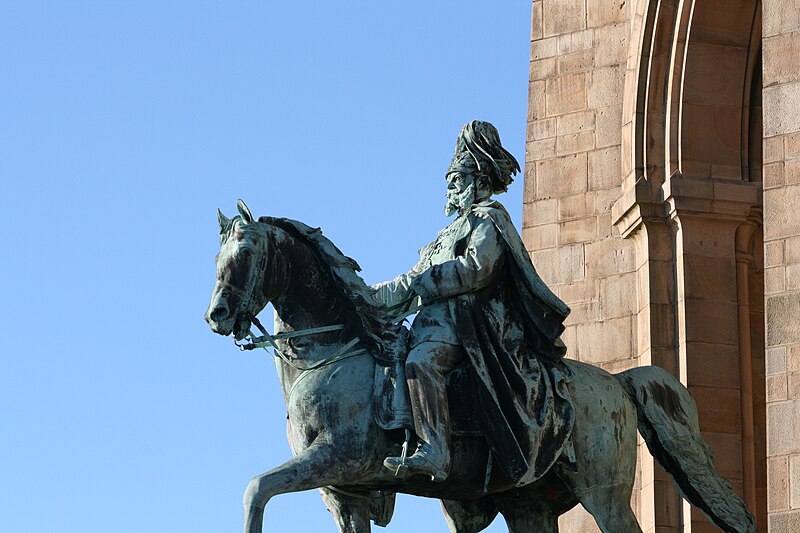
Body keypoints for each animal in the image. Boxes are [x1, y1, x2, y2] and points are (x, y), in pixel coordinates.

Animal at [206, 201, 756, 532]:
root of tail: (618, 381)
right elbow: (264, 490)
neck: (333, 354)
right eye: (217, 256)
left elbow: (255, 489)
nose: (217, 315)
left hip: (605, 493)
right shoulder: (346, 493)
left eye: (246, 251)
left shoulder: (337, 458)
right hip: (530, 501)